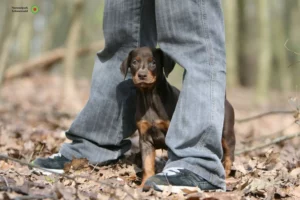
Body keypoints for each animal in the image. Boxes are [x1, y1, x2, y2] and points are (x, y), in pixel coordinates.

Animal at [120, 46, 236, 186]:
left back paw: (226, 175)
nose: (142, 75)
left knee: (229, 153)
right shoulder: (145, 138)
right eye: (134, 62)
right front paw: (144, 183)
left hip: (226, 132)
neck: (149, 97)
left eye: (153, 63)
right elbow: (147, 164)